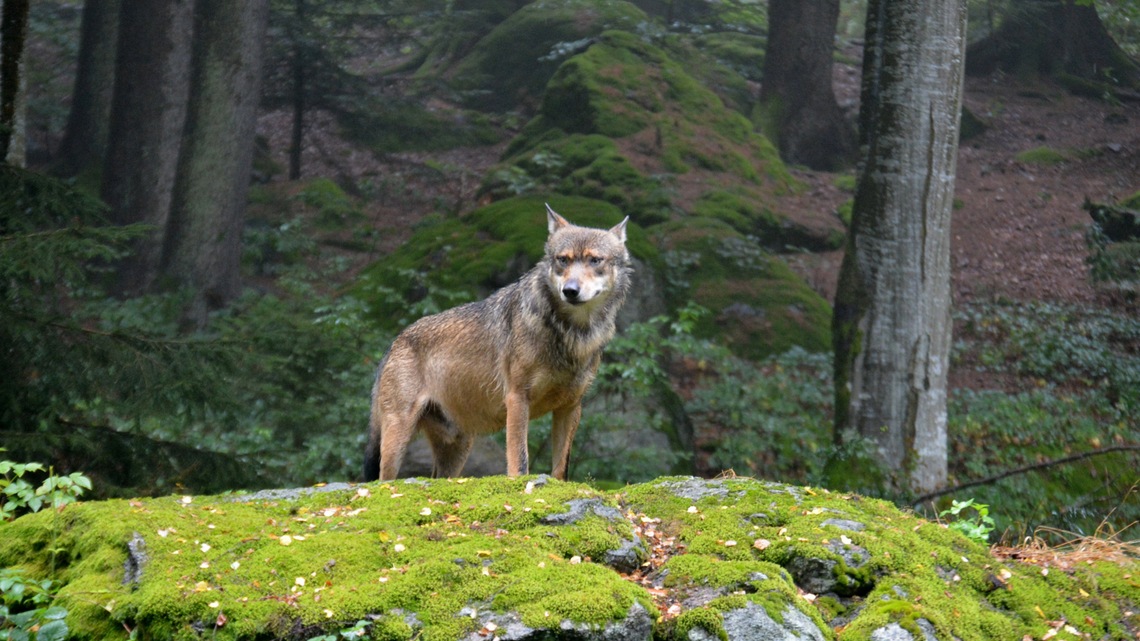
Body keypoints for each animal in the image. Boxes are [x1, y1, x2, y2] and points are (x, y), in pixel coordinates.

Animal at [362, 204, 633, 479]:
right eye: (563, 260)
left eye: (595, 260)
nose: (570, 290)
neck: (572, 333)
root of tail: (396, 342)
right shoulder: (517, 398)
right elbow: (519, 459)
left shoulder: (570, 407)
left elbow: (561, 468)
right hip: (397, 439)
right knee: (383, 480)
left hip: (457, 450)